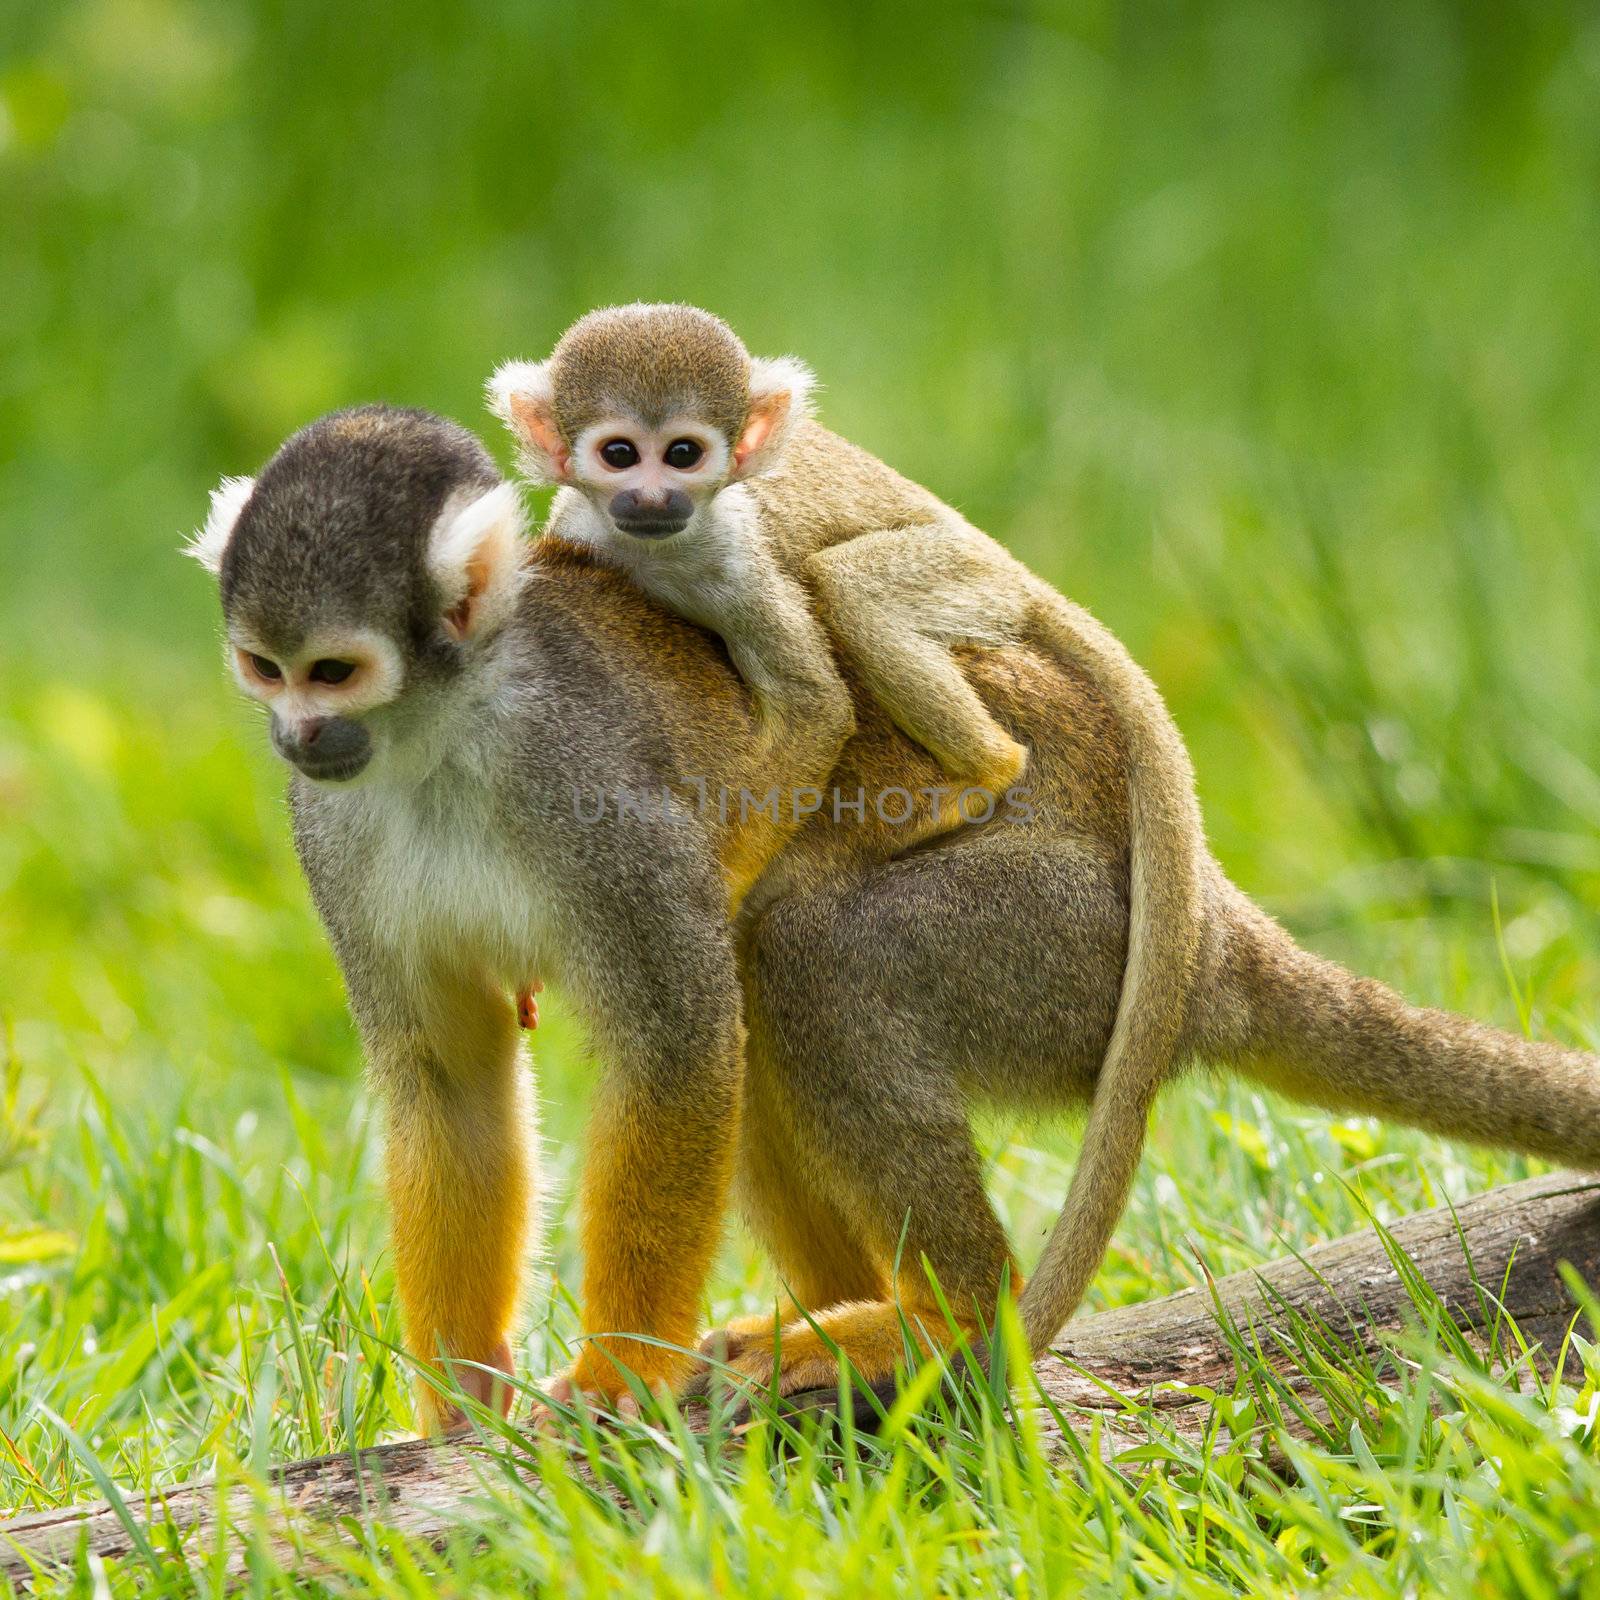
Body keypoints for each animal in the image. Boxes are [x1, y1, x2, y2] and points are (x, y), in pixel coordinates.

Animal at [492, 302, 1203, 1350]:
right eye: (619, 453)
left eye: (684, 452)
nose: (654, 496)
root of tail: (1015, 570)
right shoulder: (585, 527)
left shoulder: (740, 562)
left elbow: (817, 704)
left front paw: (722, 888)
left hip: (961, 584)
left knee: (851, 583)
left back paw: (983, 771)